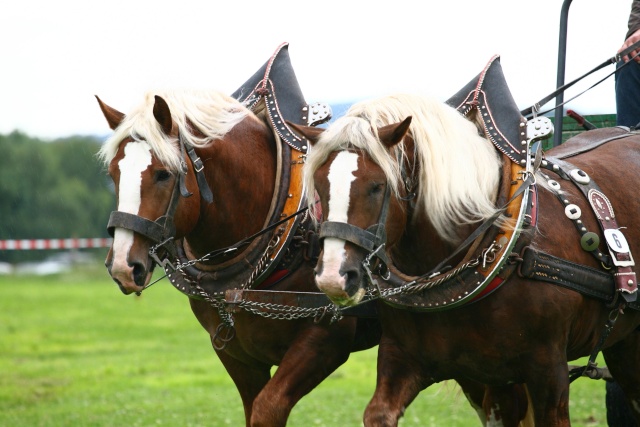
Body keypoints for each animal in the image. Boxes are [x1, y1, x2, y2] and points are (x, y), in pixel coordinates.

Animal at [296, 92, 640, 426]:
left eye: (377, 187)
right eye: (321, 186)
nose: (333, 276)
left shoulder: (548, 370)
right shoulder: (410, 359)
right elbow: (379, 413)